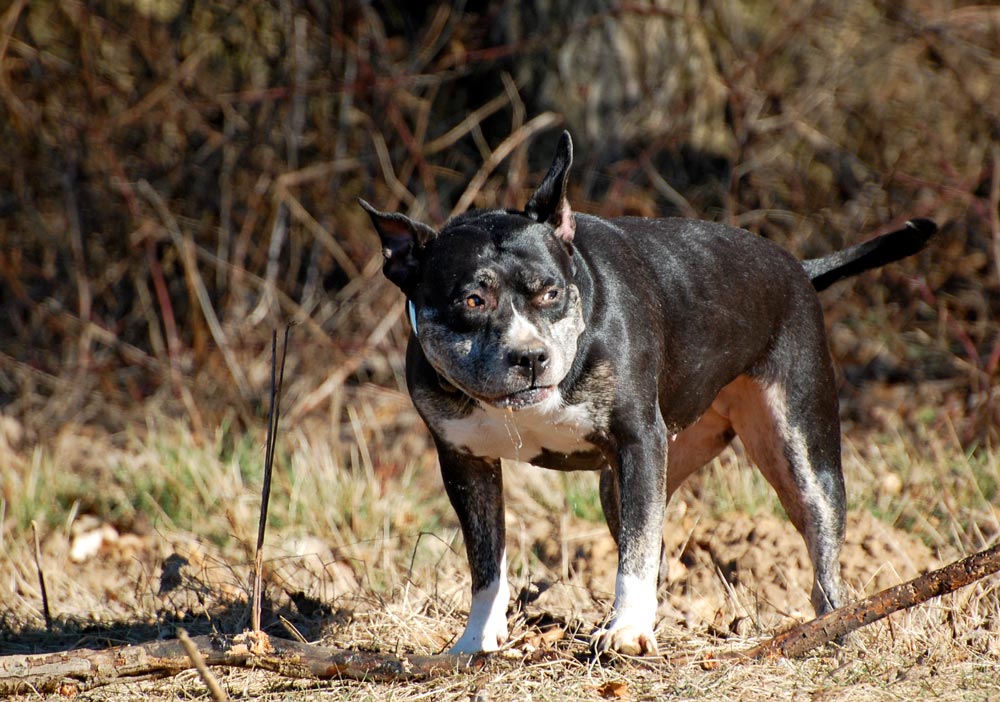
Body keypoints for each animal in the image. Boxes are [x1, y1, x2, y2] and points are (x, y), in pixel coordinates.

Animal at [362, 133, 936, 660]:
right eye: (472, 301)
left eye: (551, 292)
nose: (529, 356)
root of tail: (797, 266)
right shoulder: (466, 462)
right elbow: (487, 562)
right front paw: (477, 639)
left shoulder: (638, 441)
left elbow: (636, 556)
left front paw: (626, 632)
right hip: (631, 476)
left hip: (802, 456)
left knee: (821, 552)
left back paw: (832, 627)